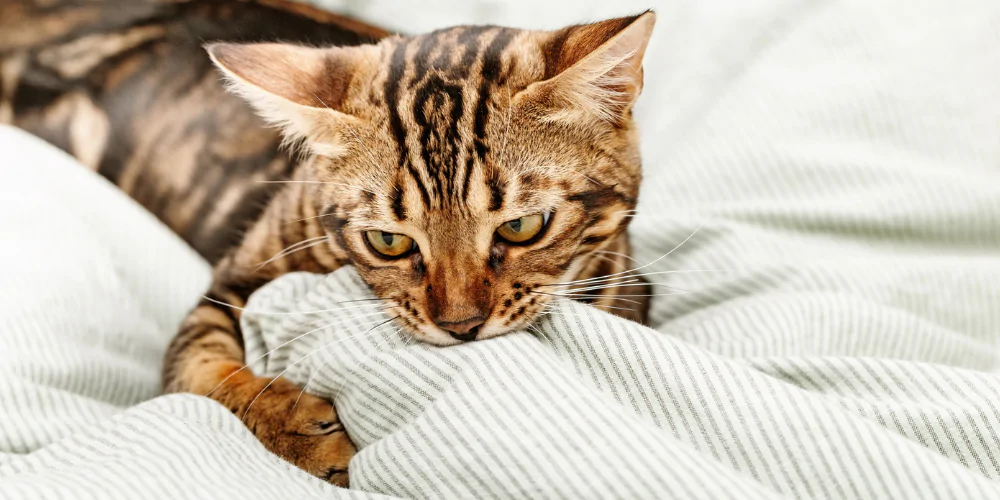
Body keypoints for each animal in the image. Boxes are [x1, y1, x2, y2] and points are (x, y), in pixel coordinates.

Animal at [1, 0, 656, 484]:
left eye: (522, 227)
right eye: (389, 241)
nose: (461, 326)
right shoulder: (227, 285)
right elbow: (202, 370)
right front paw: (295, 428)